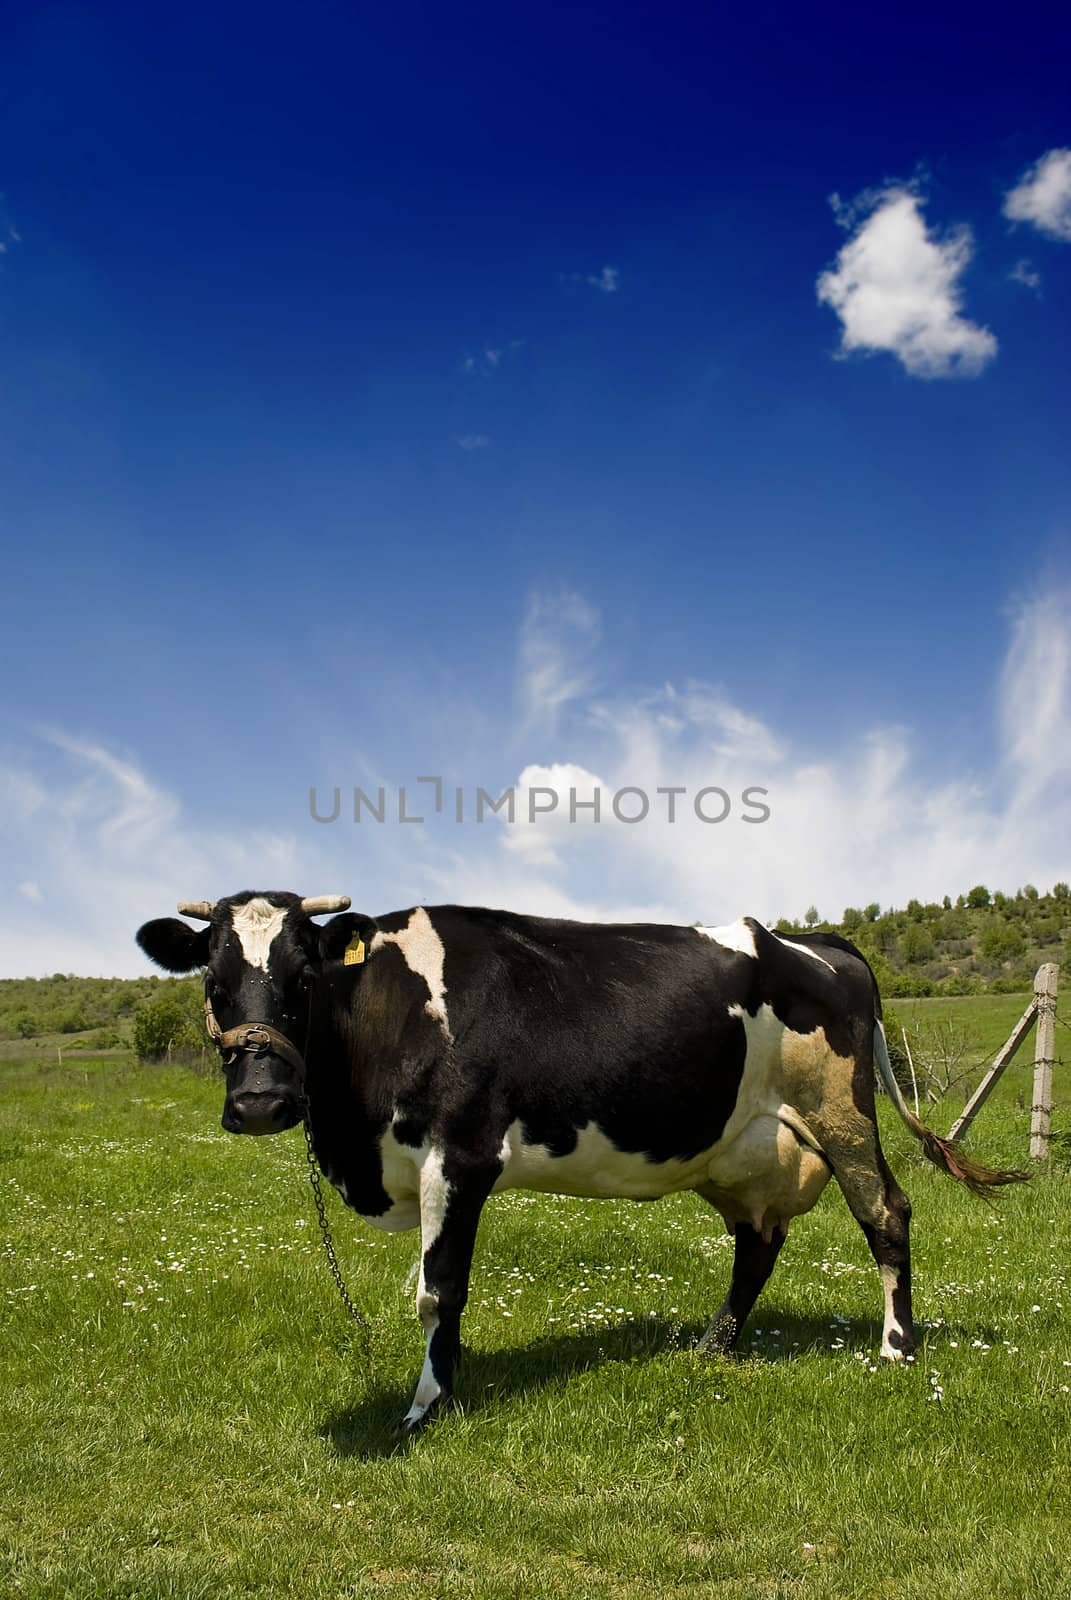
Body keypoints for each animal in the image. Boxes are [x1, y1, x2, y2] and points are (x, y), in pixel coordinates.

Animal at [137, 896, 1024, 1433]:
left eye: (303, 979)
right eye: (215, 981)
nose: (260, 1101)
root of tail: (814, 942)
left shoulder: (460, 1155)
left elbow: (437, 1290)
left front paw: (429, 1403)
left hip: (839, 1113)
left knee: (884, 1214)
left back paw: (896, 1346)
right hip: (738, 1148)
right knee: (757, 1243)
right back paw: (712, 1346)